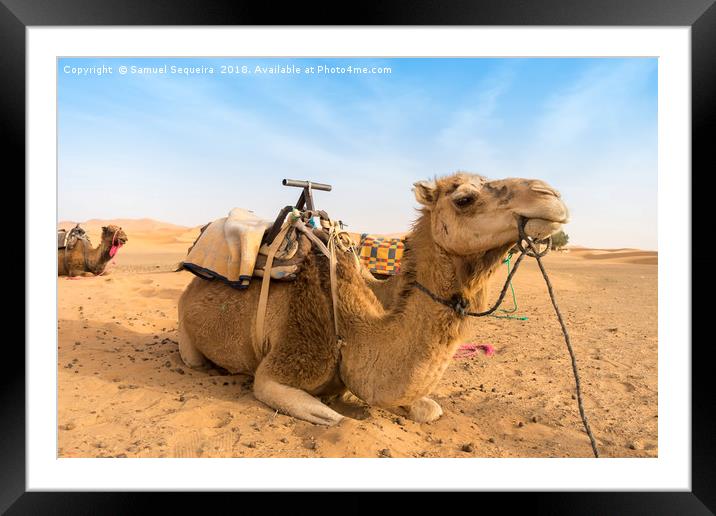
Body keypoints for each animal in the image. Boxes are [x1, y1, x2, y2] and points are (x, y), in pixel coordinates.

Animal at [176, 171, 568, 426]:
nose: (551, 196)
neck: (352, 330)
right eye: (464, 199)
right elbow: (329, 416)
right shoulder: (286, 361)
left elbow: (429, 408)